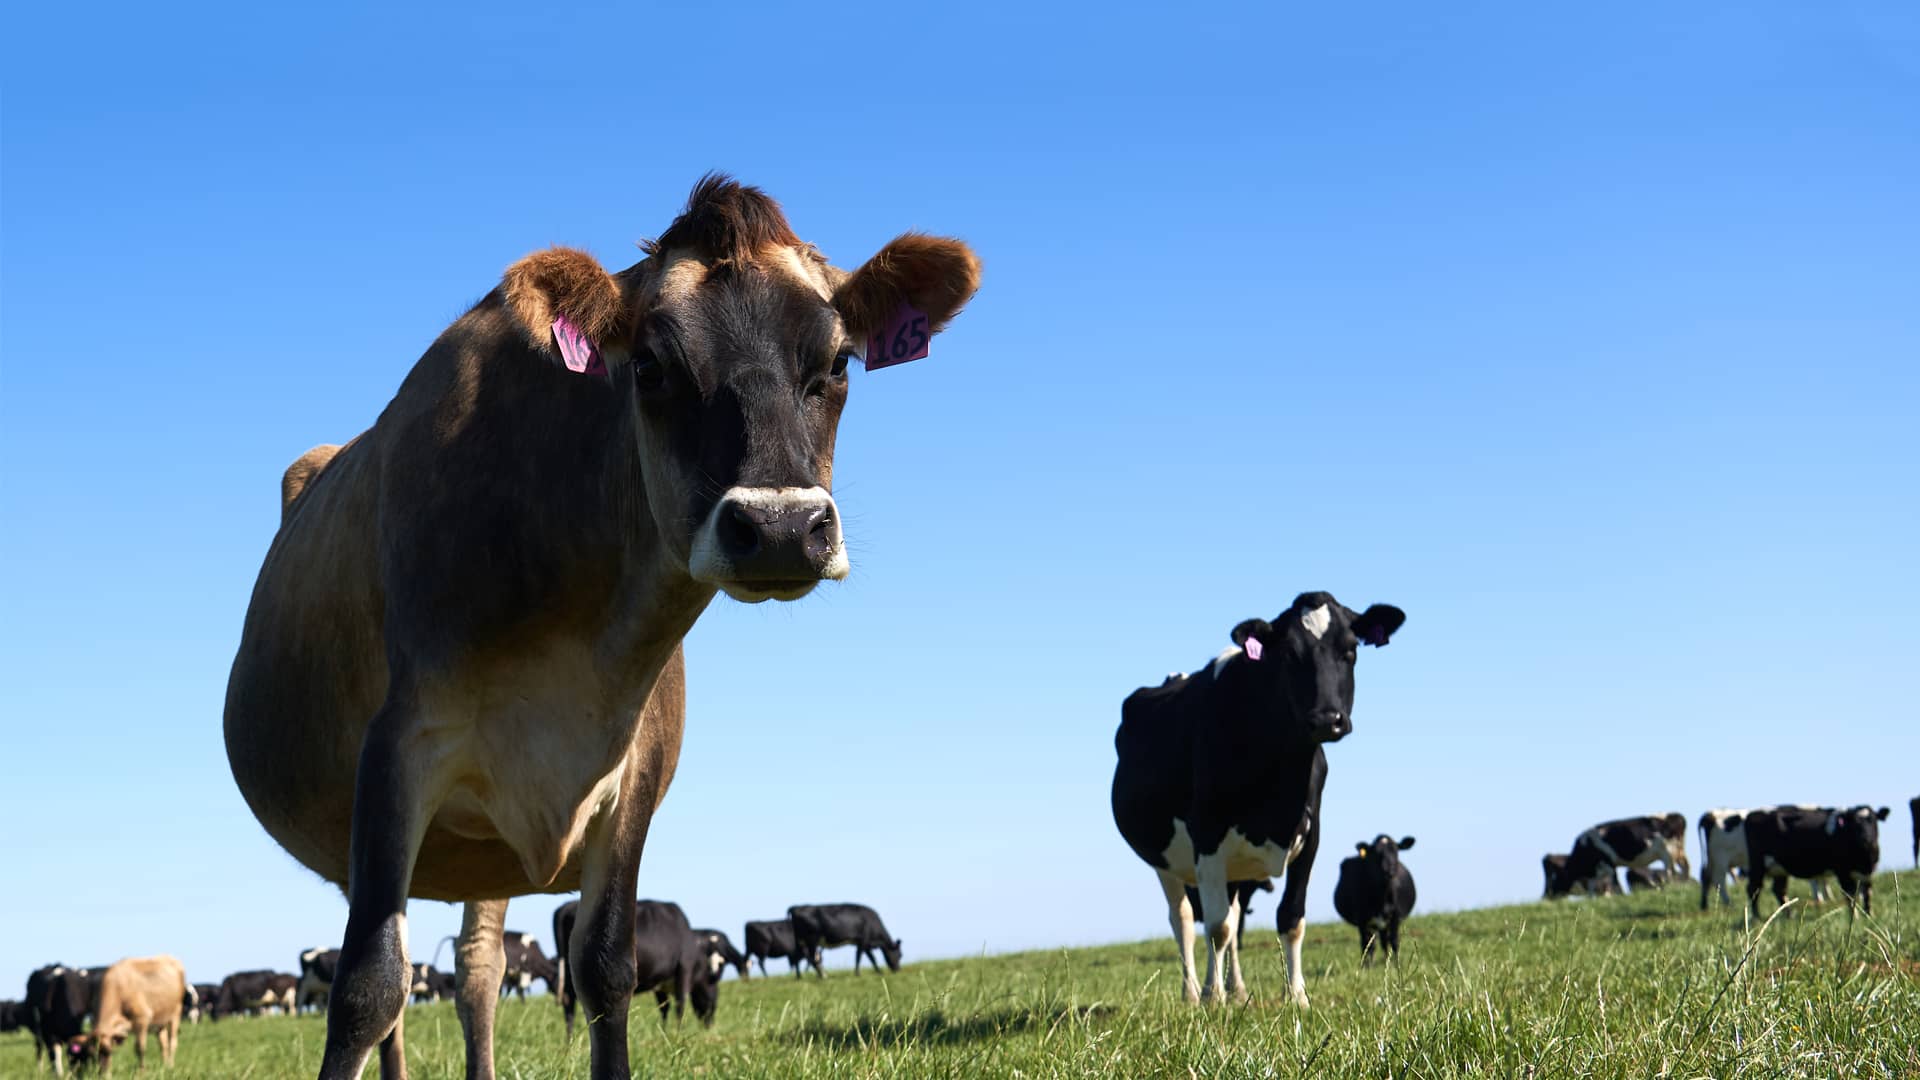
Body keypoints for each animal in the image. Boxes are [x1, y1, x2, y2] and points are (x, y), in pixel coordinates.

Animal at [220, 174, 980, 1080]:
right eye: (650, 367)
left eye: (837, 362)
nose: (782, 527)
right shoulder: (397, 750)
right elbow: (368, 986)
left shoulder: (633, 773)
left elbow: (606, 965)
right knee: (399, 990)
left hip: (484, 849)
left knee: (479, 970)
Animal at [1111, 593, 1407, 1006]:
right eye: (1289, 655)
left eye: (1350, 650)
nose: (1326, 719)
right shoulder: (1207, 835)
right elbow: (1215, 926)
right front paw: (1212, 997)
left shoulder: (1310, 836)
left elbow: (1290, 918)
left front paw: (1297, 996)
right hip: (1164, 858)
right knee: (1183, 919)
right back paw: (1193, 993)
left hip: (1234, 867)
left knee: (1234, 916)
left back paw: (1238, 990)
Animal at [1543, 814, 1689, 899]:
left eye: (1556, 879)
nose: (1548, 896)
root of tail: (1676, 816)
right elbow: (1592, 887)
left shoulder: (1609, 863)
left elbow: (1615, 884)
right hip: (1679, 853)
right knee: (1685, 868)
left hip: (1667, 852)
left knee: (1670, 871)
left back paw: (1669, 888)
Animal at [1696, 807, 1834, 910]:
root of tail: (1709, 815)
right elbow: (1816, 880)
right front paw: (1823, 899)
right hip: (1721, 859)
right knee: (1720, 881)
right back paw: (1729, 905)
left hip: (1714, 859)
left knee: (1706, 877)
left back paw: (1705, 906)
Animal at [1745, 805, 1890, 917]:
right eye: (1855, 823)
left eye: (1872, 820)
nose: (1866, 838)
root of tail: (1752, 814)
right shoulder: (1842, 871)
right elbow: (1849, 894)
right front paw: (1855, 916)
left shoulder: (1869, 872)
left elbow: (1867, 893)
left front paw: (1869, 915)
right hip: (1757, 864)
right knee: (1753, 888)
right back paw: (1756, 918)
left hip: (1779, 868)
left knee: (1779, 890)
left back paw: (1788, 915)